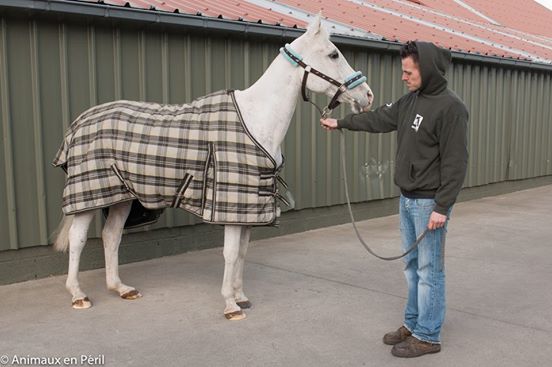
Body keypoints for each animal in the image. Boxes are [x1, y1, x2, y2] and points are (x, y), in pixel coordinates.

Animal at [54, 15, 376, 320]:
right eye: (333, 54)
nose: (368, 96)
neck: (256, 119)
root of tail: (80, 122)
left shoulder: (249, 208)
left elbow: (243, 253)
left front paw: (241, 296)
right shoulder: (232, 207)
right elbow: (231, 254)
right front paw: (230, 305)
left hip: (122, 196)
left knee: (111, 236)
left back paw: (121, 288)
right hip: (89, 197)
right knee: (78, 240)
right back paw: (78, 295)